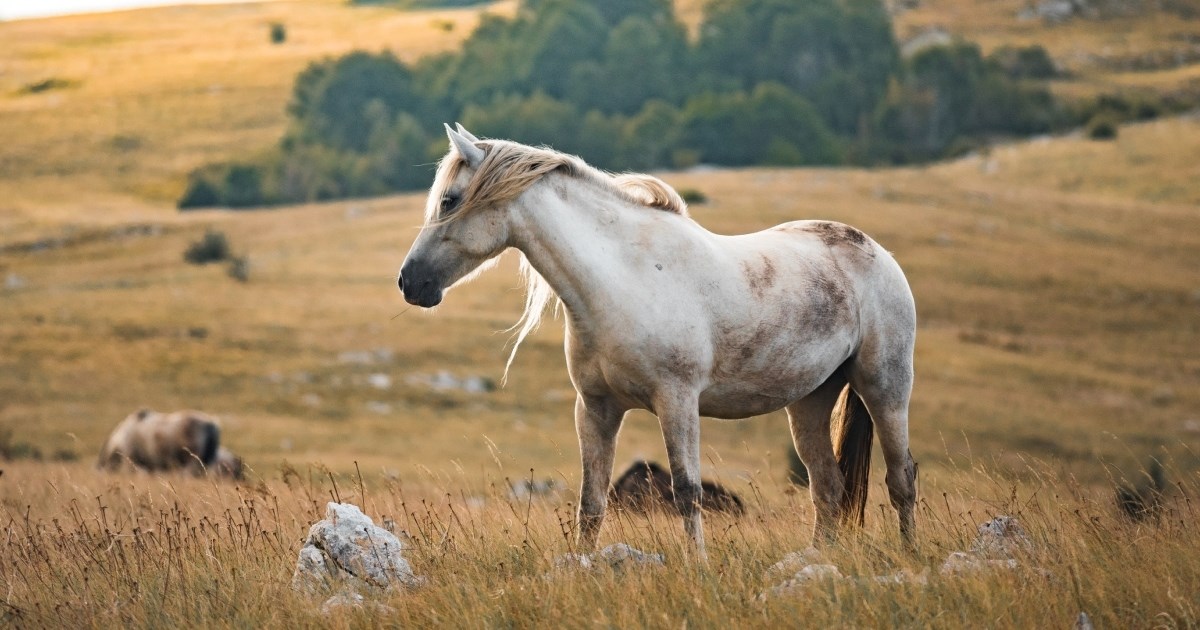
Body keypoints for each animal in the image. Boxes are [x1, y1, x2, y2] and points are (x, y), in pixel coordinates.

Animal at [400, 124, 916, 554]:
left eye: (449, 200)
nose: (409, 282)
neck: (623, 280)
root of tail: (876, 251)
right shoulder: (595, 408)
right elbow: (591, 500)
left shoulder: (677, 400)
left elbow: (686, 491)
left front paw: (698, 565)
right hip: (810, 400)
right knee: (828, 488)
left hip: (884, 388)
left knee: (901, 478)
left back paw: (910, 557)